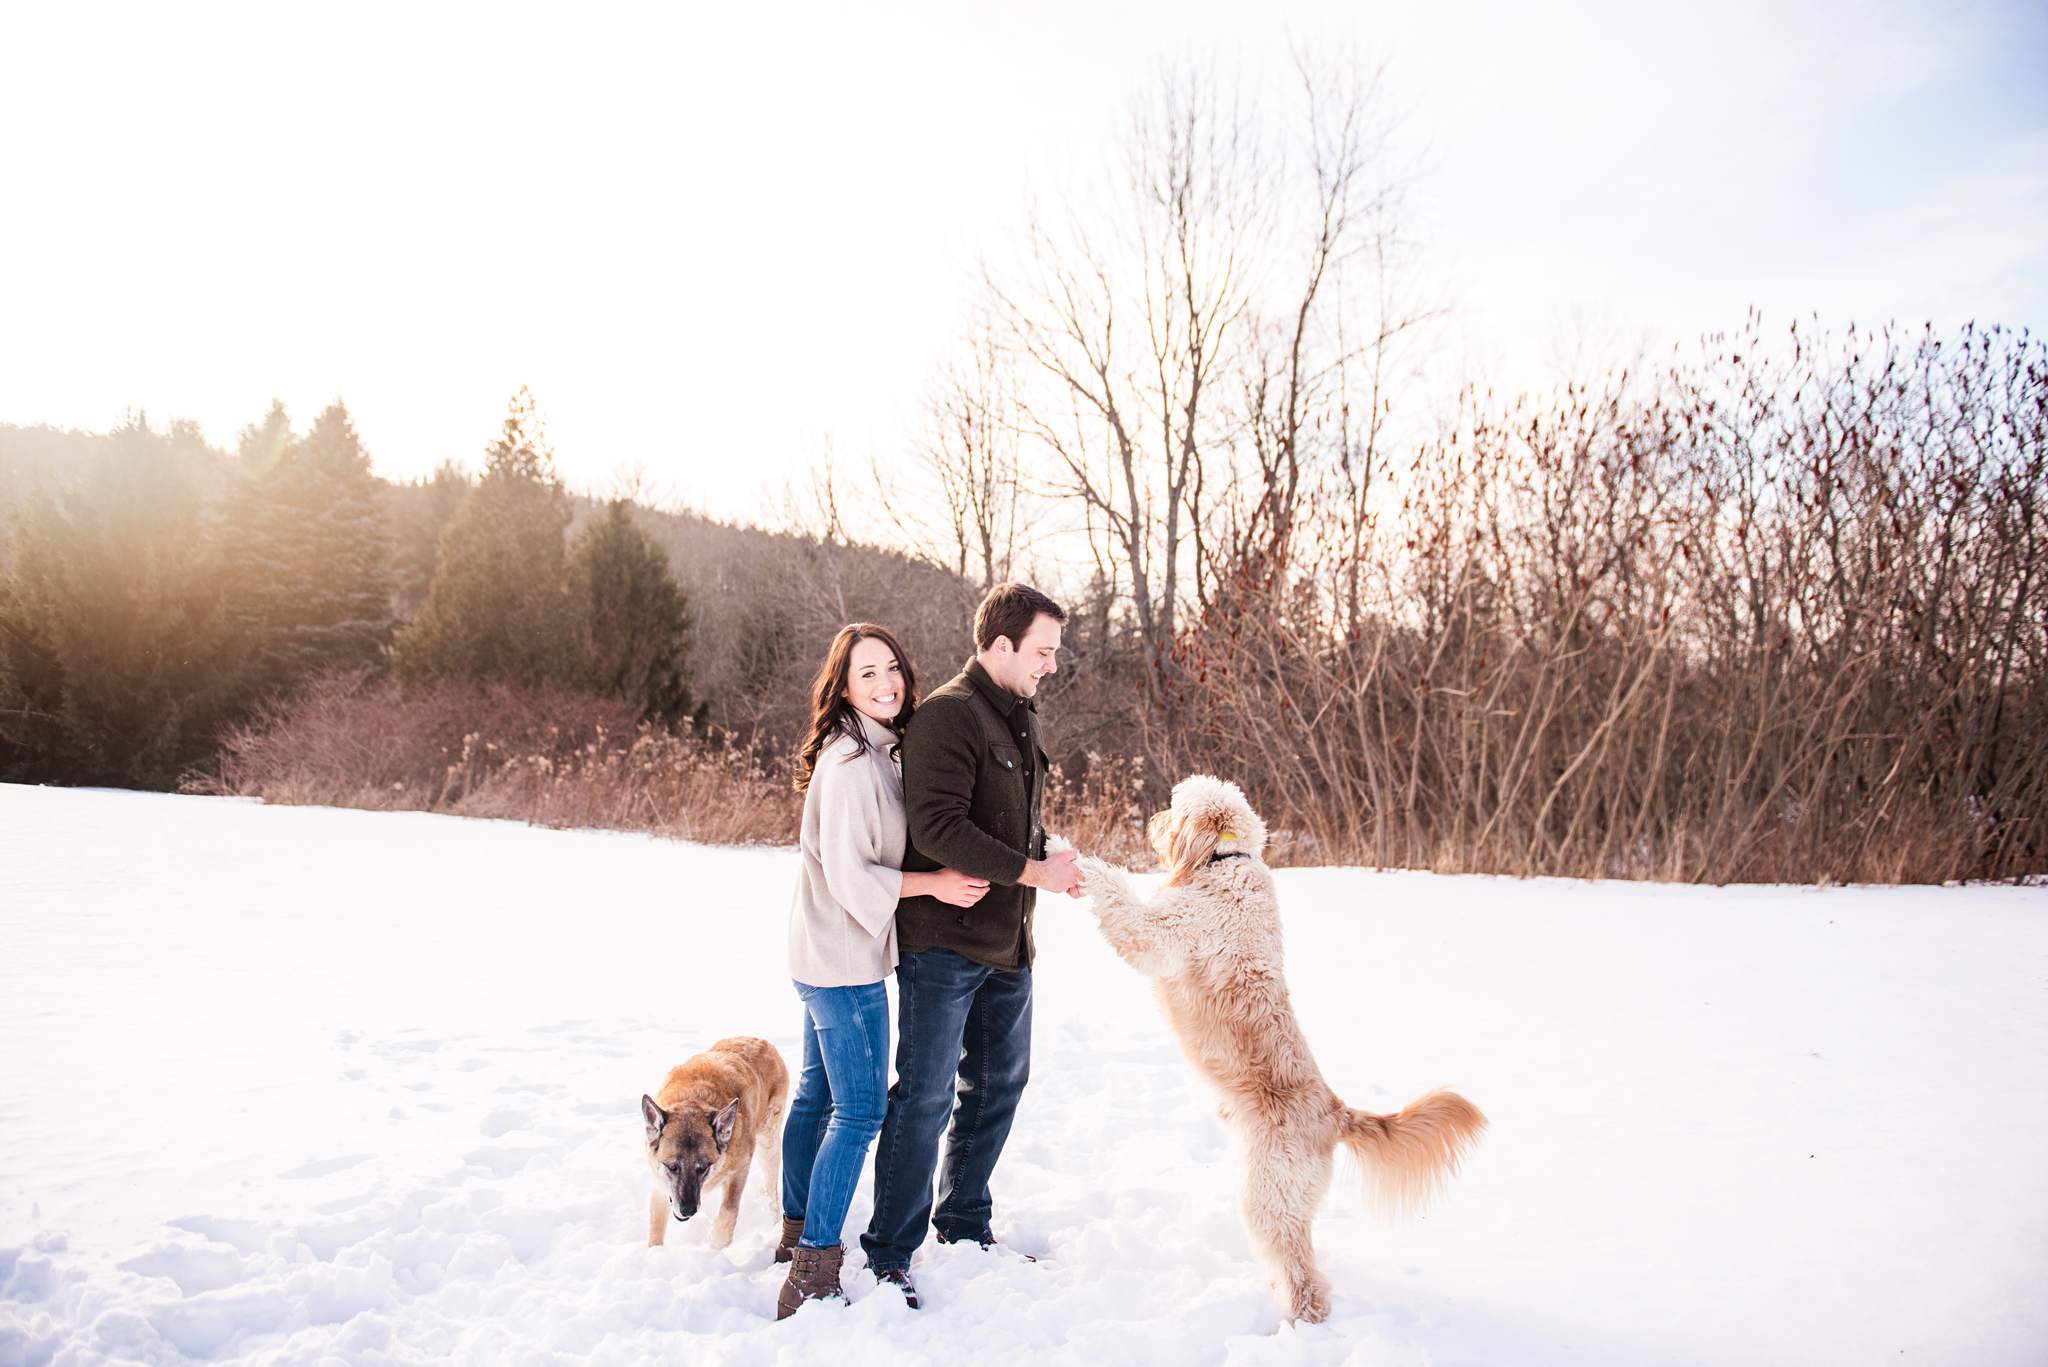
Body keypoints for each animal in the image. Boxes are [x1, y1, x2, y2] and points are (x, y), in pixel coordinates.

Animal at [643, 1037, 786, 1254]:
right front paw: (654, 1255)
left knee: (772, 1192)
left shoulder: (740, 1169)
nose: (688, 1210)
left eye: (703, 1167)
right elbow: (655, 1232)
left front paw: (716, 1241)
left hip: (768, 1143)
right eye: (672, 1167)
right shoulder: (660, 1185)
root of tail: (762, 1041)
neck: (694, 1101)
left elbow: (729, 1210)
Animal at [1073, 778, 1490, 1328]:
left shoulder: (1162, 933)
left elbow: (1121, 899)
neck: (1225, 860)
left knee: (1302, 1274)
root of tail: (1337, 1114)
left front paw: (1073, 857)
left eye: (1175, 808)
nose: (1153, 821)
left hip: (1270, 1197)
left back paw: (1297, 1321)